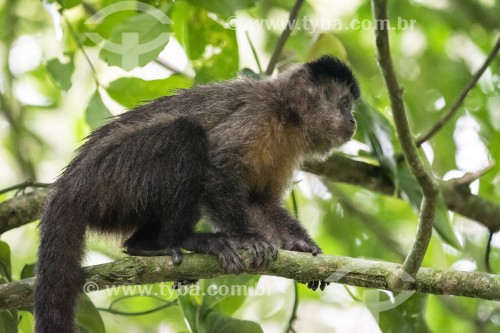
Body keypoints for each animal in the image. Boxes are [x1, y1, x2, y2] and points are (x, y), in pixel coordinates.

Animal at [33, 55, 360, 330]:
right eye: (344, 104)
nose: (354, 120)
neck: (287, 116)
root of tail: (69, 185)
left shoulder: (289, 149)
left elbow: (260, 203)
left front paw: (301, 245)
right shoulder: (258, 113)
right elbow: (217, 165)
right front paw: (248, 239)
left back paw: (142, 245)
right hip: (111, 179)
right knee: (186, 134)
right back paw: (175, 241)